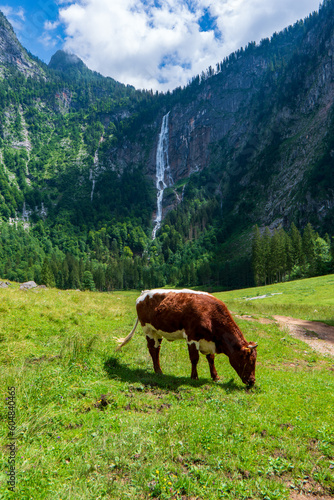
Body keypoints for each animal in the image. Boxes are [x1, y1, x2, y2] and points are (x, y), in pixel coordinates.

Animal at [115, 290, 258, 386]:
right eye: (250, 360)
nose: (252, 381)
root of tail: (144, 293)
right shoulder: (192, 337)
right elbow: (194, 358)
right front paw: (194, 377)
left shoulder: (208, 341)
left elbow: (211, 359)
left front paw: (215, 377)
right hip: (148, 330)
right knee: (152, 350)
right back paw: (158, 371)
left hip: (158, 332)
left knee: (157, 349)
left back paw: (159, 370)